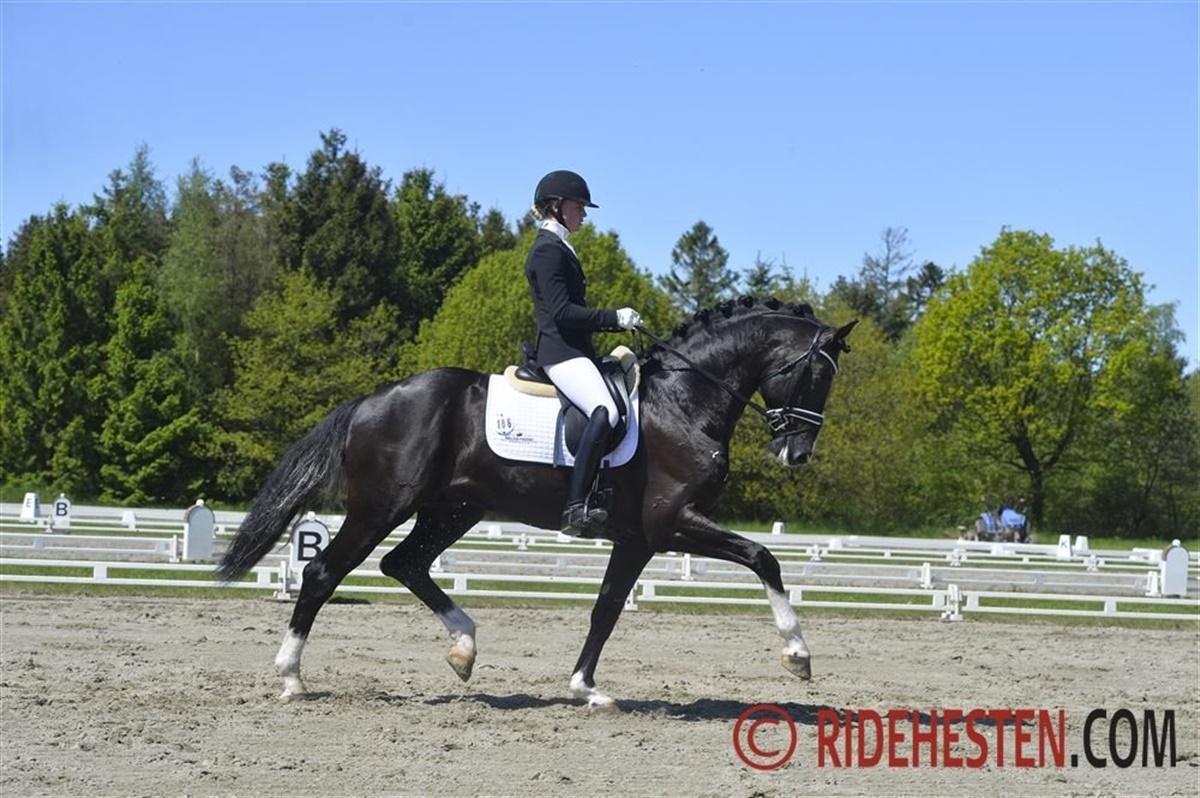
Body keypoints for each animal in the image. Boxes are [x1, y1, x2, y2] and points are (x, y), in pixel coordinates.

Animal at [217, 295, 857, 708]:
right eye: (815, 377)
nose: (797, 454)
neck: (684, 401)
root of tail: (373, 399)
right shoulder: (672, 524)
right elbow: (763, 558)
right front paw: (798, 655)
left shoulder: (637, 539)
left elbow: (605, 609)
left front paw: (586, 689)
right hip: (381, 507)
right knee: (324, 572)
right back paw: (292, 678)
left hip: (455, 508)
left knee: (405, 563)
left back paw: (464, 648)